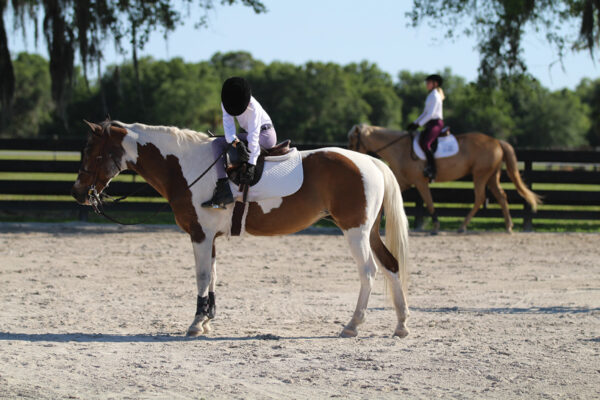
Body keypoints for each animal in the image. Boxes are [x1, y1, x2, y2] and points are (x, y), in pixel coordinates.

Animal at [68, 119, 410, 338]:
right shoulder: (209, 238)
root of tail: (370, 163)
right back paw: (401, 325)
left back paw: (353, 325)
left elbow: (202, 276)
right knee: (391, 265)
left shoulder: (200, 235)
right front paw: (207, 320)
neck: (187, 165)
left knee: (368, 271)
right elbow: (212, 276)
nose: (78, 192)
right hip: (369, 231)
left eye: (93, 153)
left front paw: (196, 324)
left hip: (355, 232)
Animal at [346, 123, 540, 233]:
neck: (399, 149)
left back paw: (463, 227)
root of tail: (497, 141)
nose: (351, 157)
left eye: (353, 141)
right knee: (501, 197)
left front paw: (436, 226)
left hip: (480, 175)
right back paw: (508, 226)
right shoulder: (403, 182)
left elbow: (429, 202)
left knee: (480, 198)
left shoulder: (420, 182)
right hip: (492, 176)